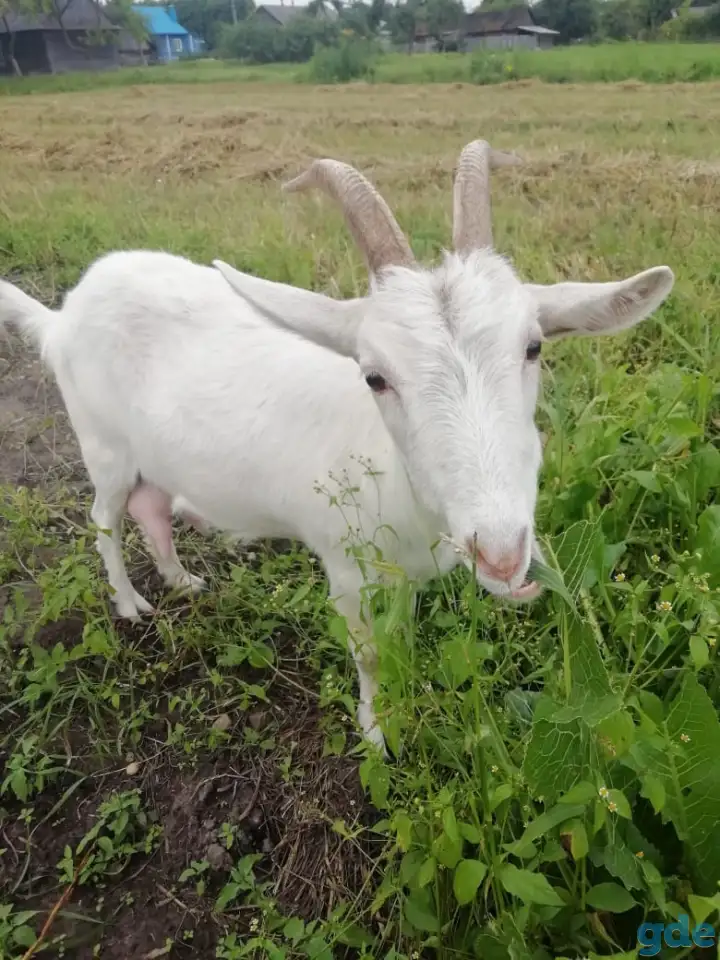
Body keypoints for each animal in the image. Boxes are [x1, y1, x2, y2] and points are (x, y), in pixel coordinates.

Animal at [0, 140, 674, 750]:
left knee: (152, 507)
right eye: (374, 376)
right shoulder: (346, 567)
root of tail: (61, 317)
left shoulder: (403, 573)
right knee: (105, 519)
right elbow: (369, 651)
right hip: (103, 444)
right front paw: (376, 733)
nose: (503, 554)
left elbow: (400, 638)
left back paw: (181, 579)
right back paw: (130, 602)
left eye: (533, 346)